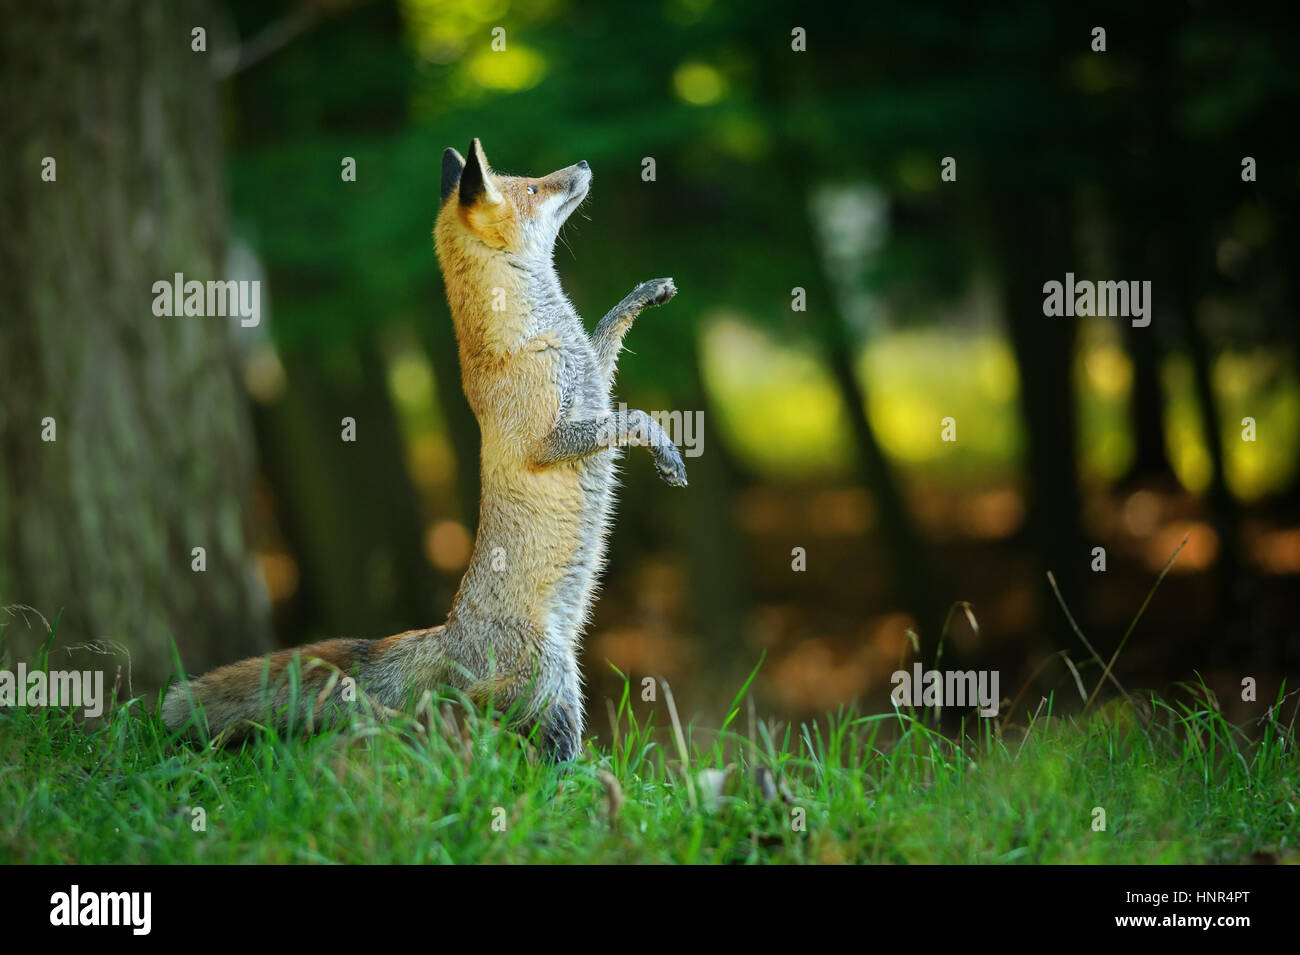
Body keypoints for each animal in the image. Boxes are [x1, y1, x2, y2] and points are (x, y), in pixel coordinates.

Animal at [161, 138, 687, 760]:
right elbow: (636, 417)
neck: (535, 334)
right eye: (533, 186)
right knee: (545, 762)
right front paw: (666, 450)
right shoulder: (548, 439)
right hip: (559, 684)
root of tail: (446, 633)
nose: (581, 166)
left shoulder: (592, 388)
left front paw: (644, 295)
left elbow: (608, 334)